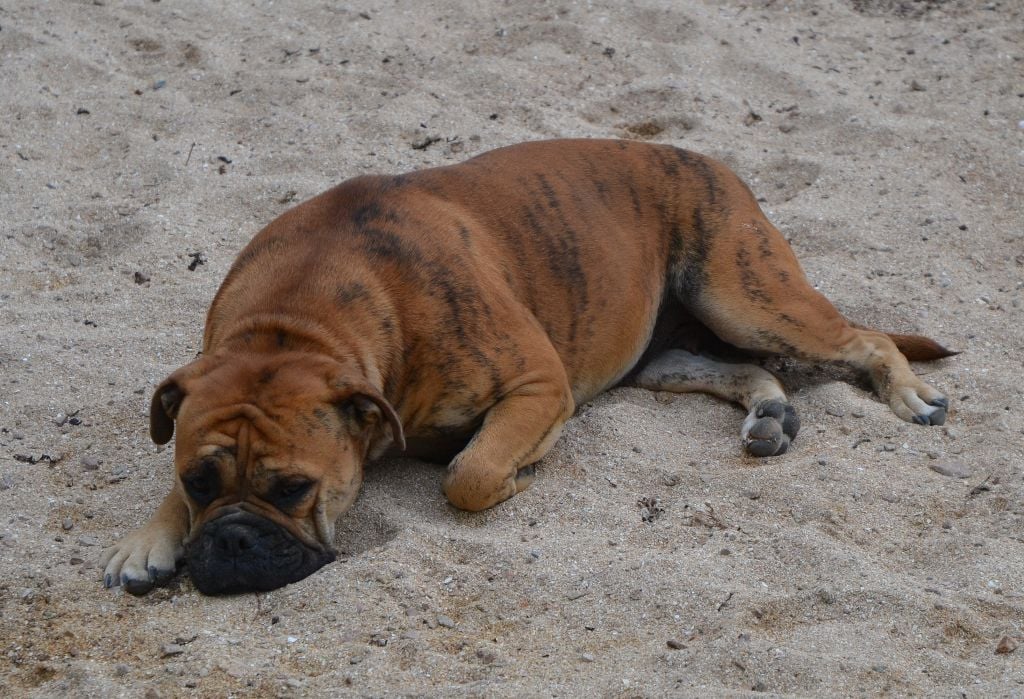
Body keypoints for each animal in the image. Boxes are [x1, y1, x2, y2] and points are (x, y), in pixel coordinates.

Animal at [101, 139, 954, 595]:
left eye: (292, 489)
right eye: (199, 480)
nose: (234, 543)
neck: (297, 323)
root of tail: (713, 164)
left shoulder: (539, 386)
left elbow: (470, 475)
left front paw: (508, 475)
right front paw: (149, 538)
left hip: (746, 293)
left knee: (865, 338)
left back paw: (912, 395)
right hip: (666, 355)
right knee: (749, 372)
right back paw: (769, 415)